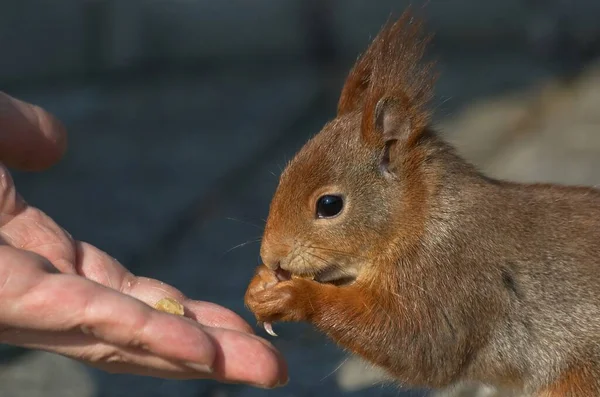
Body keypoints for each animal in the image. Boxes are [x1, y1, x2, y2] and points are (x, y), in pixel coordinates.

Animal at [243, 9, 600, 396]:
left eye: (329, 205)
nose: (271, 257)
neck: (423, 217)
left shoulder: (456, 278)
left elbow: (419, 345)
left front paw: (294, 296)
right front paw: (259, 284)